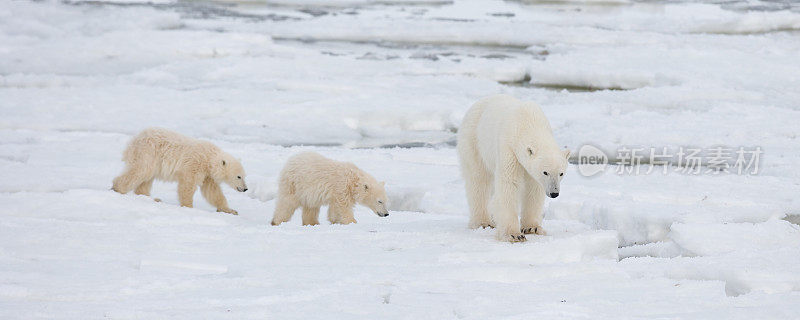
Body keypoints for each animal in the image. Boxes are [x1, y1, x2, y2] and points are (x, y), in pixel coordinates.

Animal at [456, 95, 568, 242]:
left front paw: (532, 228)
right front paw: (514, 234)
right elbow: (509, 184)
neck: (528, 122)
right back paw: (483, 222)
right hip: (474, 140)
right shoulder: (508, 148)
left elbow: (533, 188)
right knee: (479, 180)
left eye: (561, 173)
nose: (554, 193)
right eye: (545, 172)